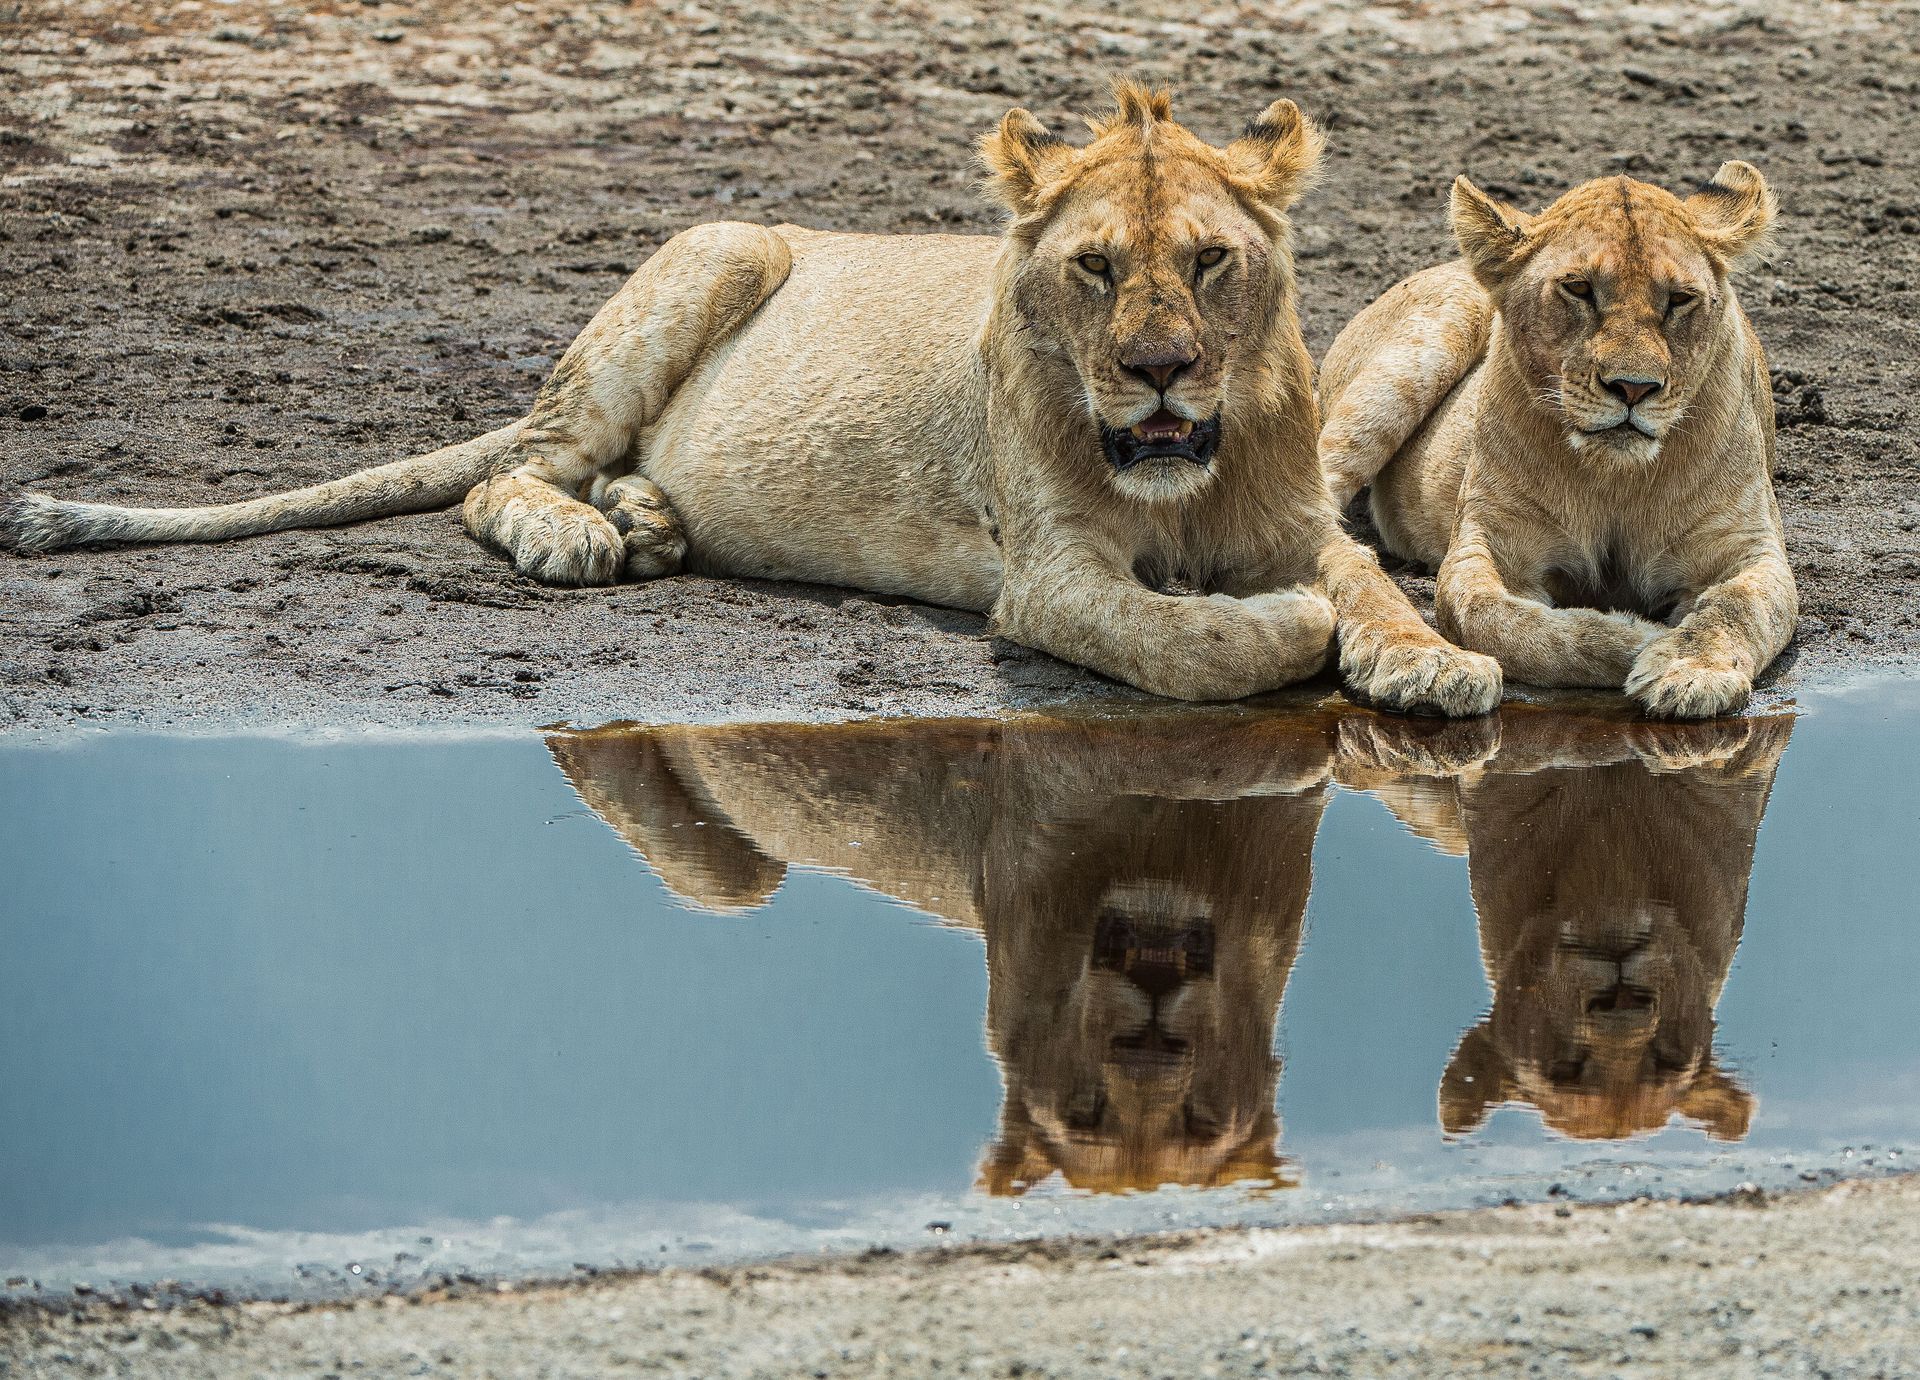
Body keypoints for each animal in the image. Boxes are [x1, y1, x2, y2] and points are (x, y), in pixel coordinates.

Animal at [0, 83, 1497, 714]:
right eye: (1095, 269)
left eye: (1208, 262)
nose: (1161, 370)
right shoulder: (1050, 580)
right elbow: (1197, 645)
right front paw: (1287, 629)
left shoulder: (1304, 518)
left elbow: (1365, 582)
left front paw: (1425, 661)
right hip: (722, 243)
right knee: (506, 471)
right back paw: (584, 533)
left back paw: (652, 518)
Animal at [547, 710, 1343, 1194]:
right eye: (1083, 1114)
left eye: (1201, 1123)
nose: (1148, 1038)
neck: (1161, 869)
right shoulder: (1057, 776)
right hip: (734, 884)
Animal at [1317, 163, 1796, 718]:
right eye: (1580, 289)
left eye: (1679, 299)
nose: (1634, 387)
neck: (1614, 477)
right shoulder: (1487, 544)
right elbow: (1496, 619)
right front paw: (1638, 638)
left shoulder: (1751, 550)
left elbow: (1734, 609)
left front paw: (1688, 668)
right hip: (1406, 367)